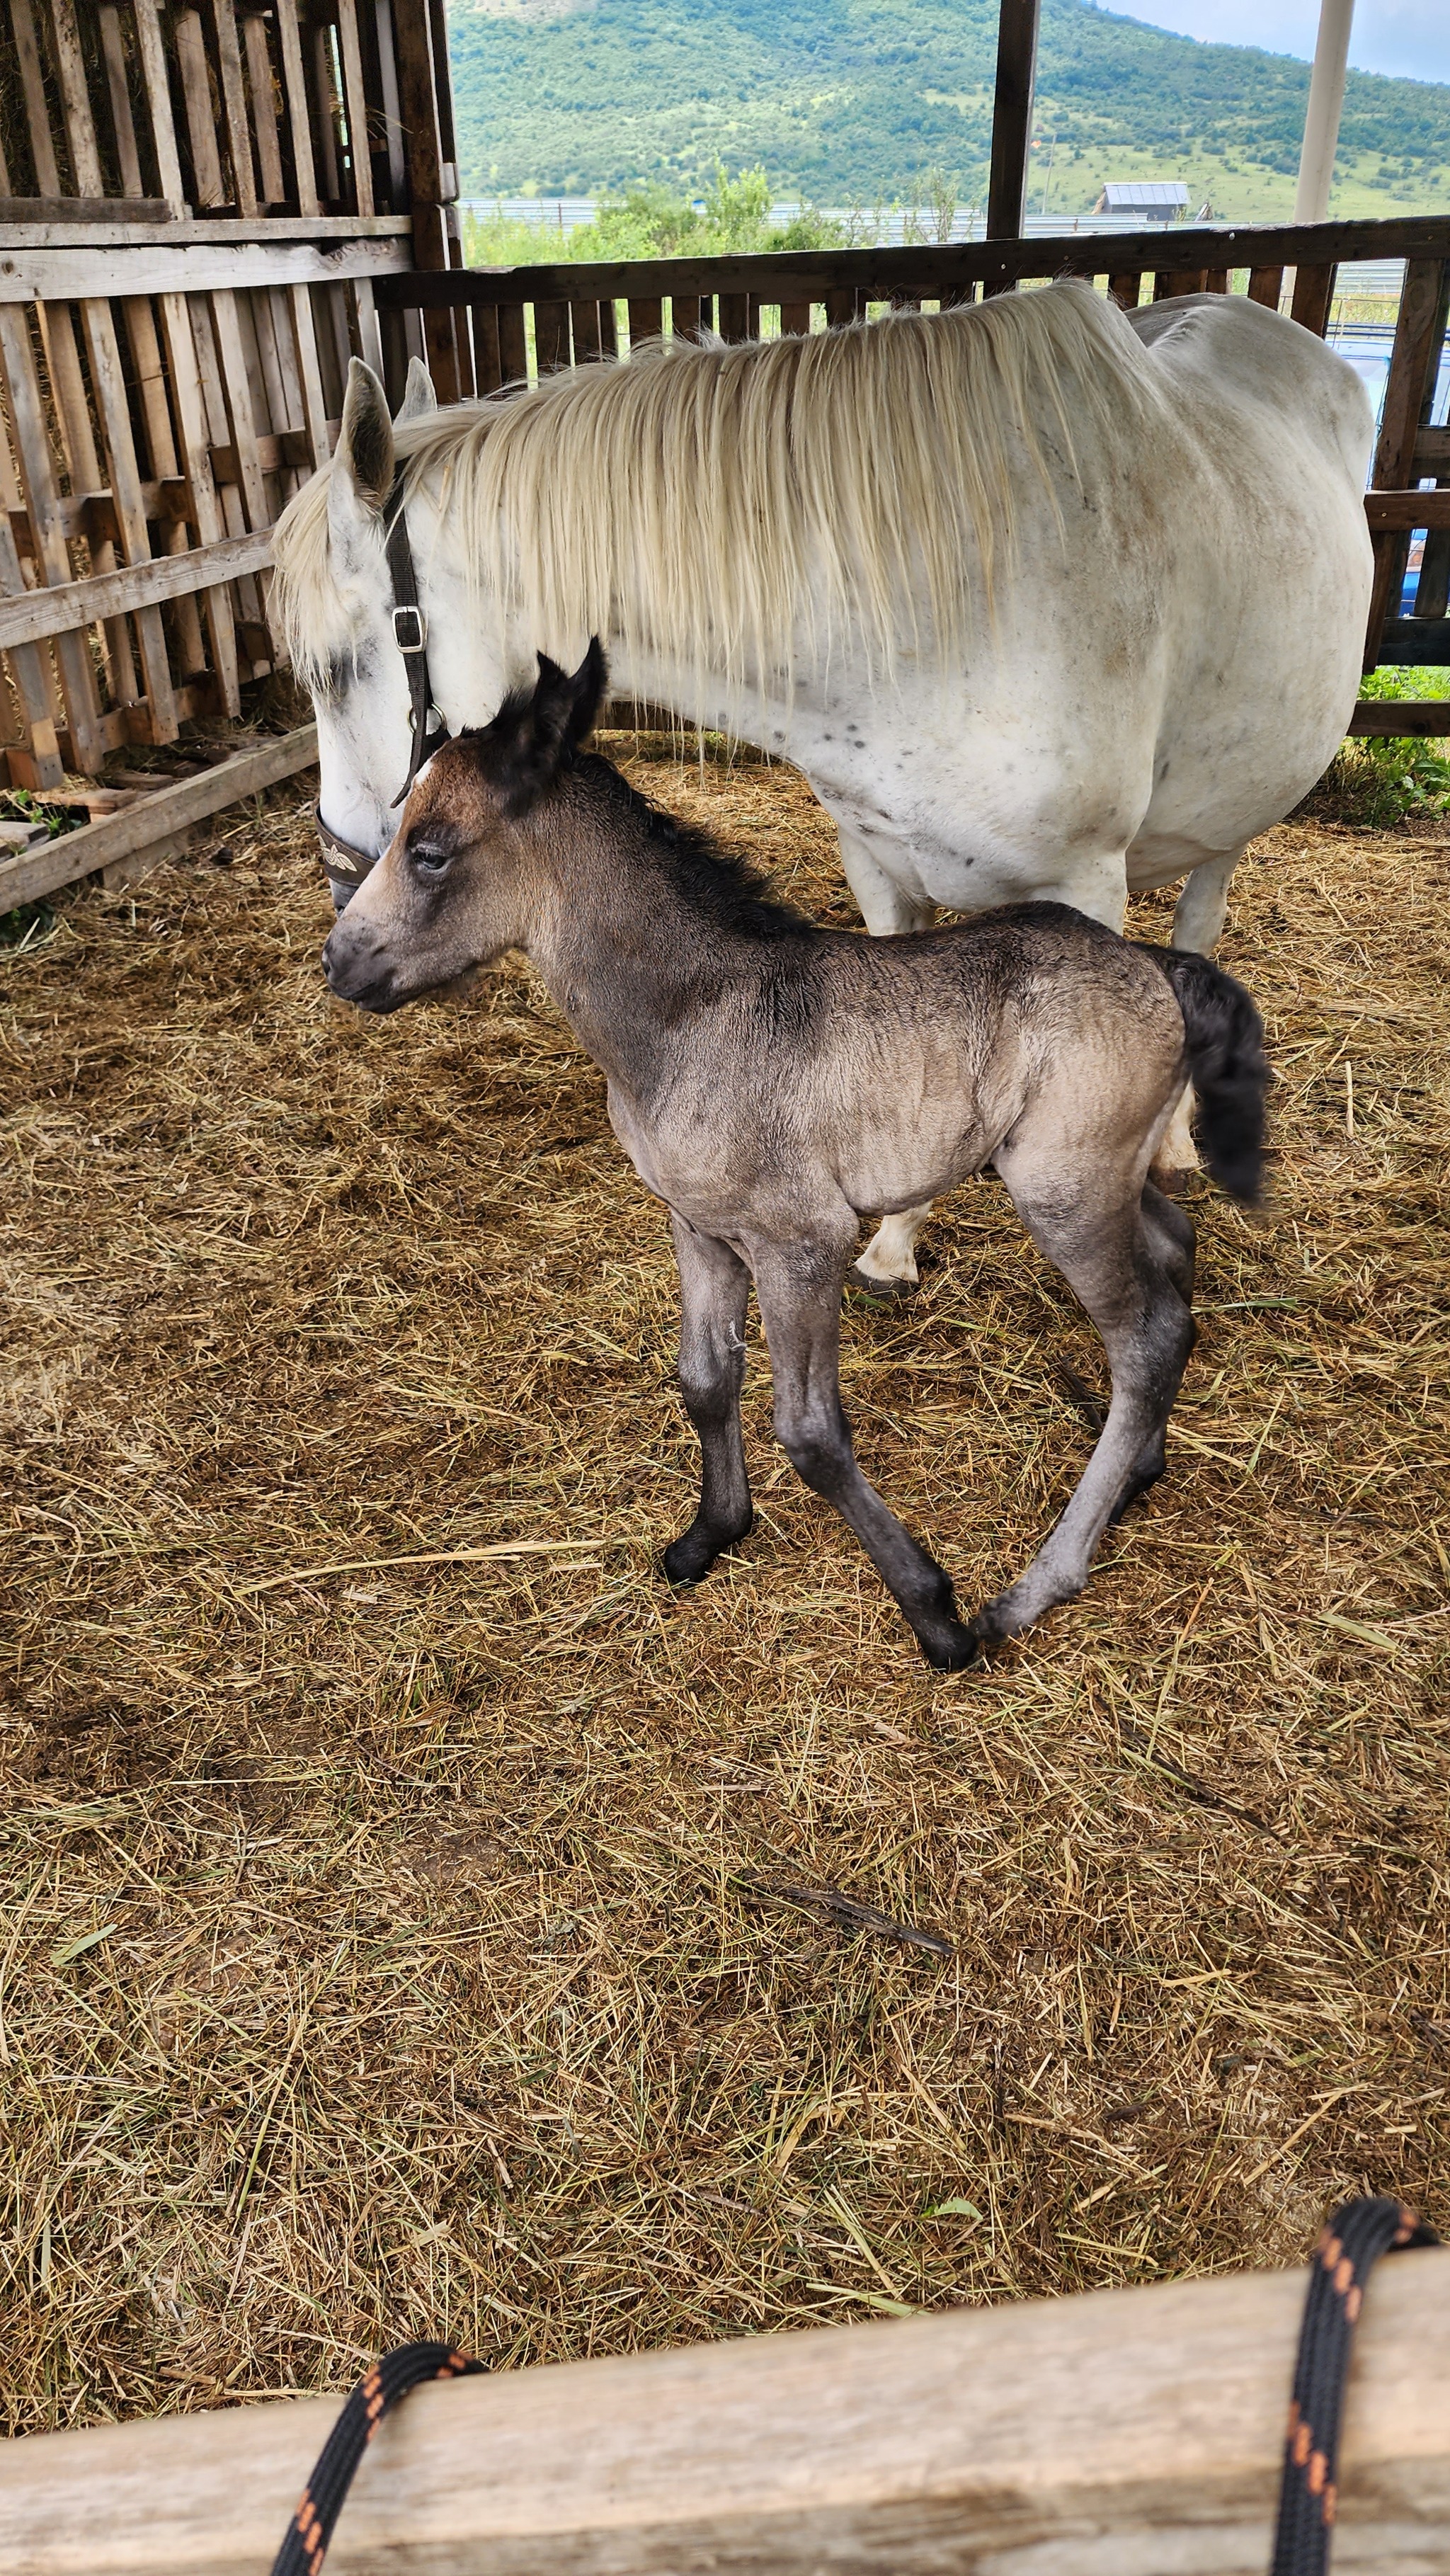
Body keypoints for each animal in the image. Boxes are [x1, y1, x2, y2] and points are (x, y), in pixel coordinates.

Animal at [273, 282, 1370, 1288]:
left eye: (334, 667)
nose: (341, 872)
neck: (948, 607)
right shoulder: (878, 862)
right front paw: (893, 1244)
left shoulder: (1085, 885)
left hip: (1229, 821)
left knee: (1200, 920)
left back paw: (1177, 1139)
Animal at [320, 644, 1272, 1669]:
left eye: (430, 850)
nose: (339, 962)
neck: (692, 1020)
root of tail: (1156, 967)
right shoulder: (698, 1224)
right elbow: (704, 1380)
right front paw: (709, 1533)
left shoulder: (801, 1242)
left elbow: (810, 1432)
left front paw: (933, 1612)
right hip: (1092, 1173)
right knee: (1174, 1251)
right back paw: (1141, 1470)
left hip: (1065, 1191)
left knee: (1146, 1337)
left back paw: (1032, 1588)